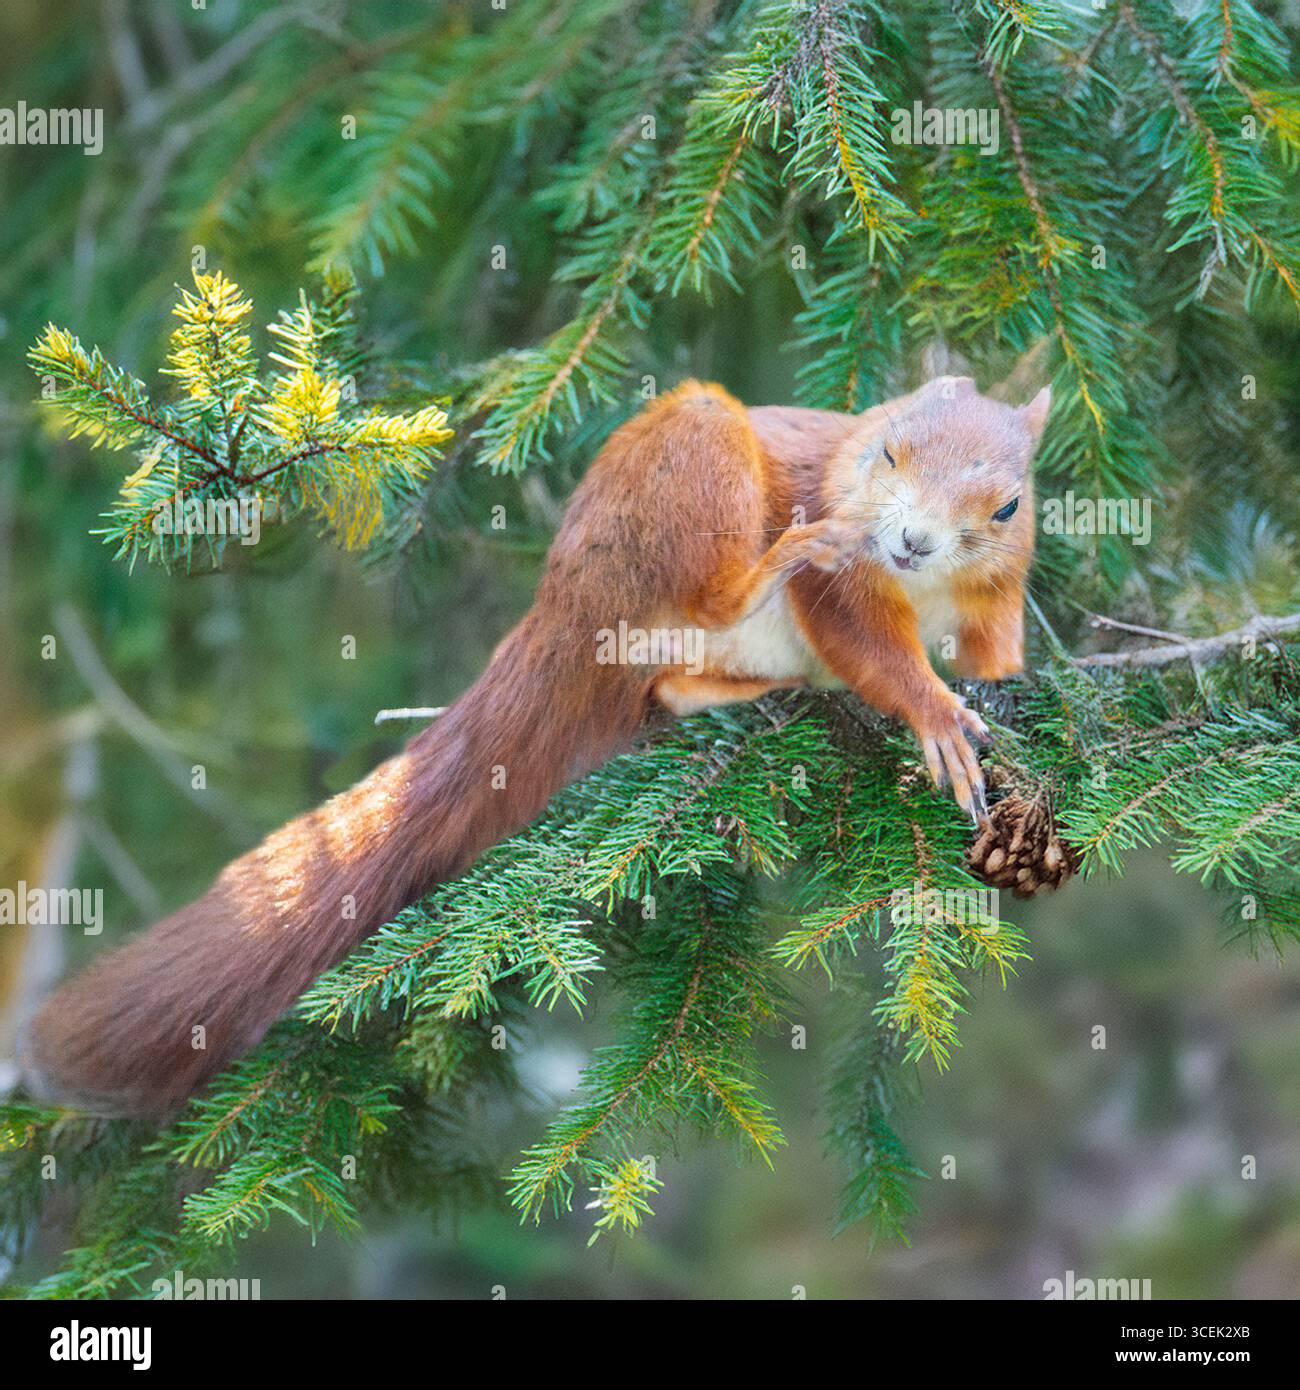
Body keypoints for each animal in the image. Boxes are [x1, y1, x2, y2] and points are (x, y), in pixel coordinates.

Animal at [25, 373, 1048, 1115]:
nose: (911, 540)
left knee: (672, 682)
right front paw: (936, 717)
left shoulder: (994, 601)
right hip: (688, 466)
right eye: (888, 448)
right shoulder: (846, 584)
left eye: (1008, 507)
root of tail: (562, 604)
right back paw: (782, 560)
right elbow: (865, 641)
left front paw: (1000, 688)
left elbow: (997, 652)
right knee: (718, 597)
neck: (926, 593)